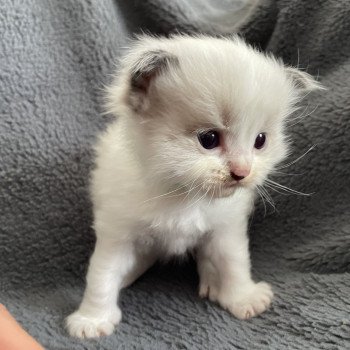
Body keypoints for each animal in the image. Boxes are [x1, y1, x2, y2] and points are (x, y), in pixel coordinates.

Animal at [65, 34, 322, 338]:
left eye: (260, 141)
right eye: (209, 139)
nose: (242, 172)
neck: (184, 193)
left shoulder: (225, 228)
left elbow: (234, 262)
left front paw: (243, 298)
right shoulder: (117, 231)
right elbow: (102, 274)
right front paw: (92, 319)